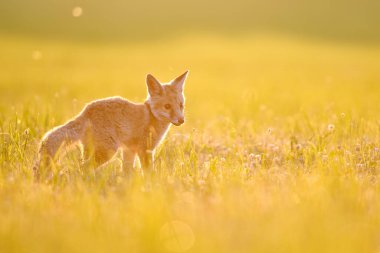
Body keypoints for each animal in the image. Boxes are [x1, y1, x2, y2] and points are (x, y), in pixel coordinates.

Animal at [33, 70, 189, 178]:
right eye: (167, 106)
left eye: (181, 106)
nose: (181, 120)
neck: (151, 116)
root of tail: (86, 111)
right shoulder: (145, 150)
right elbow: (148, 172)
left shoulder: (129, 150)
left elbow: (126, 172)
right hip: (108, 151)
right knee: (83, 167)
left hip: (91, 150)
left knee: (81, 165)